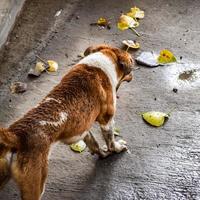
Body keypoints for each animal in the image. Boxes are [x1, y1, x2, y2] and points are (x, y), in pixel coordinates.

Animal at [0, 44, 134, 199]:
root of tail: (16, 135)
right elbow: (111, 141)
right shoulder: (107, 121)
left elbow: (93, 142)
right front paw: (117, 148)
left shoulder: (83, 127)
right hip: (36, 185)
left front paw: (102, 153)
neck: (100, 63)